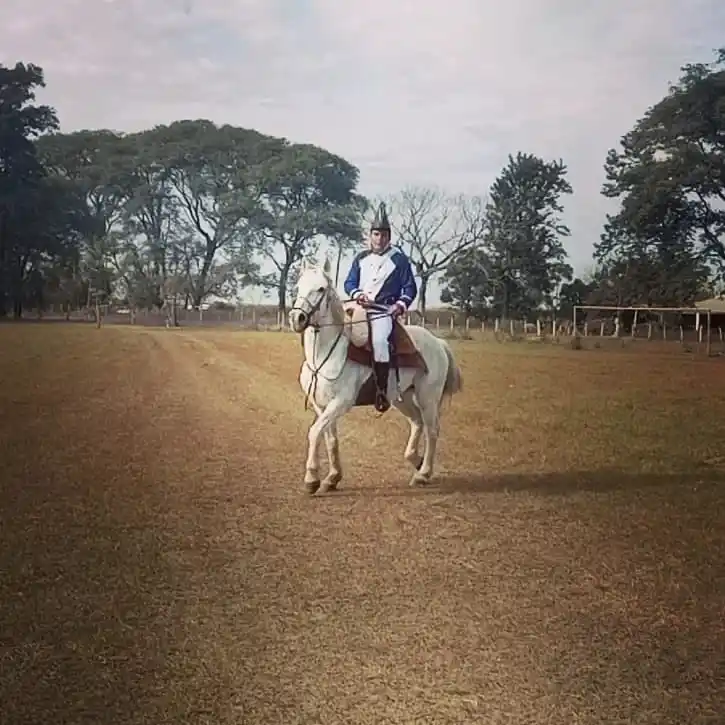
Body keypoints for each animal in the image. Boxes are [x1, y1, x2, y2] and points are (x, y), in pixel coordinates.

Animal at [288, 257, 463, 495]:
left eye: (321, 288)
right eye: (298, 287)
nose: (297, 318)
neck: (325, 354)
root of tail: (438, 342)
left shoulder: (341, 402)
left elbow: (314, 432)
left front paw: (311, 479)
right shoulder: (321, 405)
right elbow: (330, 438)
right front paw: (332, 478)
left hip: (428, 398)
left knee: (432, 430)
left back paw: (423, 474)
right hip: (402, 398)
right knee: (417, 422)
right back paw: (415, 460)